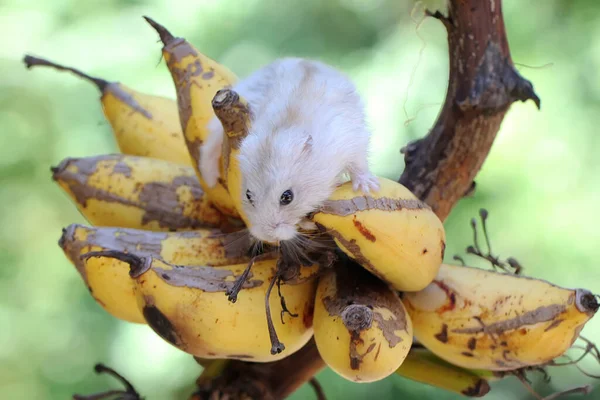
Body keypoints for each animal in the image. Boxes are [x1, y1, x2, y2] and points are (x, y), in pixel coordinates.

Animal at [202, 56, 380, 244]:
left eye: (287, 197)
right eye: (248, 195)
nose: (267, 236)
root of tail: (306, 60)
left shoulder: (352, 140)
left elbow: (358, 164)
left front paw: (368, 187)